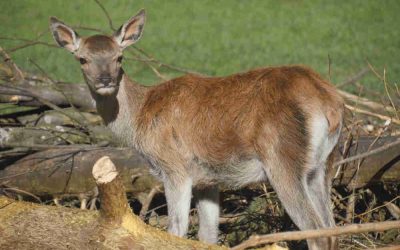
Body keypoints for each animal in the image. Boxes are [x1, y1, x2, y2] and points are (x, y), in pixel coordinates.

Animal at [50, 9, 344, 250]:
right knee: (332, 229)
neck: (139, 118)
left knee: (317, 232)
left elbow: (177, 231)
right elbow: (207, 237)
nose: (105, 80)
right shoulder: (207, 179)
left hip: (282, 157)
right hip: (324, 165)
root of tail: (329, 104)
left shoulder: (174, 166)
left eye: (119, 57)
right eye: (82, 59)